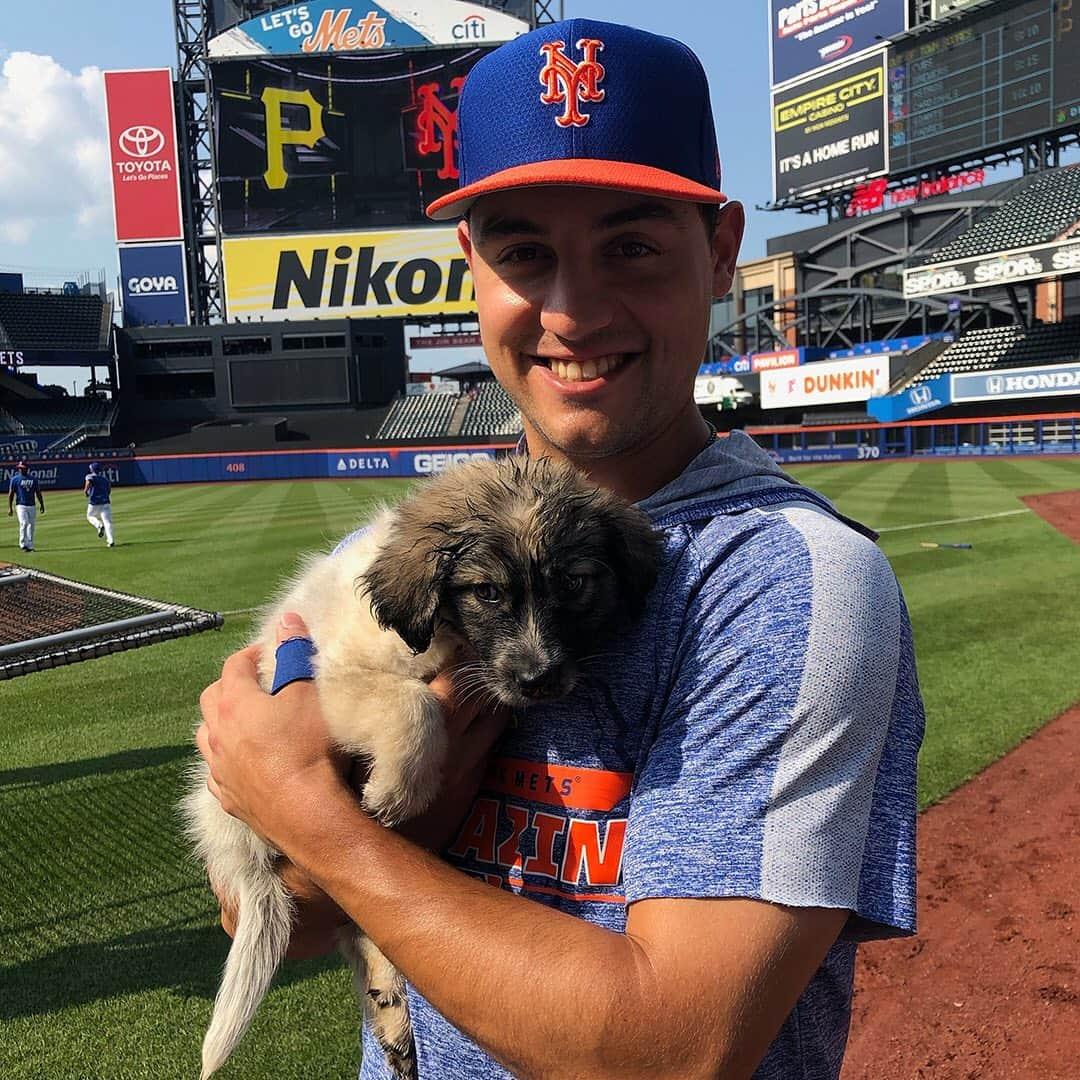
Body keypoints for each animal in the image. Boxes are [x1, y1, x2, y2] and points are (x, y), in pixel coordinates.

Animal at [181, 455, 660, 1080]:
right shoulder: (334, 678)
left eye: (575, 583)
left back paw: (393, 1016)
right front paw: (396, 792)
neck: (449, 637)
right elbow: (416, 705)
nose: (539, 680)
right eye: (486, 592)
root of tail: (236, 855)